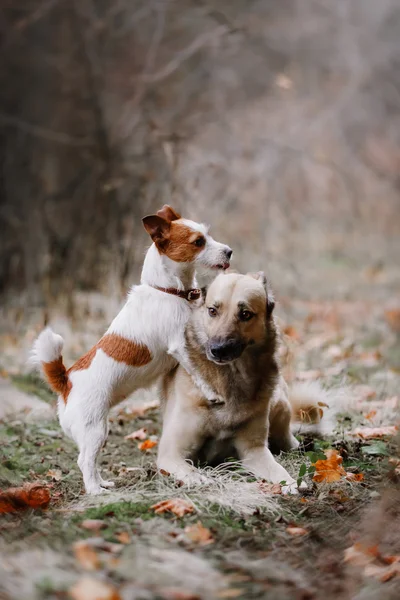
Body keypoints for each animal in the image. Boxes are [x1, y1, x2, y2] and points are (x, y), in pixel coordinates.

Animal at [32, 204, 231, 494]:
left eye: (208, 234)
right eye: (198, 242)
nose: (229, 251)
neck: (167, 290)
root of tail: (66, 382)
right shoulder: (179, 346)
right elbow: (198, 371)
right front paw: (212, 393)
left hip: (99, 429)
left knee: (91, 460)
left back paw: (103, 483)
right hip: (94, 429)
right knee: (84, 461)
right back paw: (95, 492)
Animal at [159, 272, 310, 492]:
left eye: (245, 314)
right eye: (212, 311)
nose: (218, 350)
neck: (229, 377)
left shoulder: (254, 451)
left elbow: (277, 470)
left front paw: (290, 483)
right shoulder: (171, 453)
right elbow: (188, 469)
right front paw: (199, 479)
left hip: (280, 405)